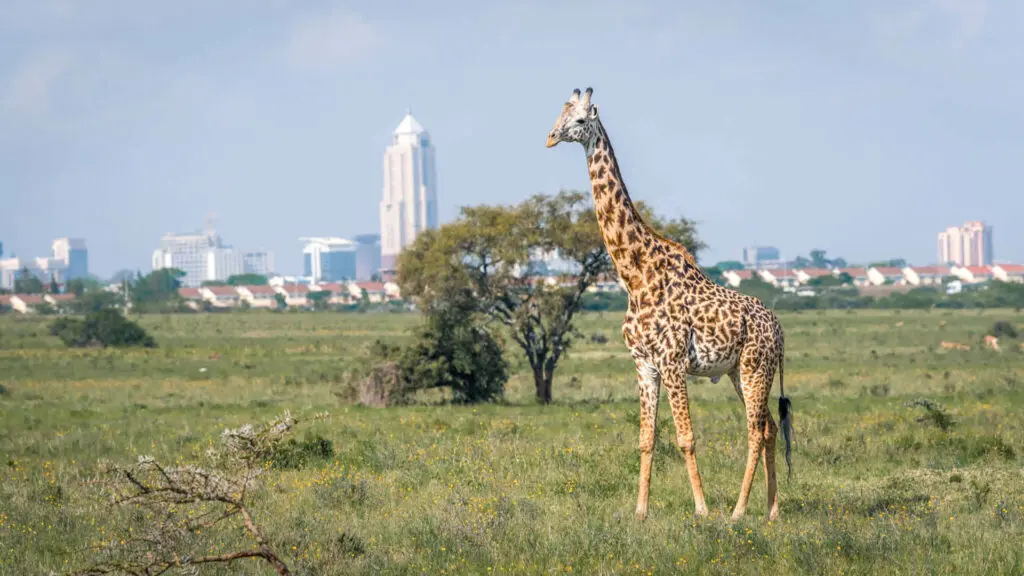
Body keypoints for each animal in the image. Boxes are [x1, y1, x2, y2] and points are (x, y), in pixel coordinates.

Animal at [546, 87, 792, 521]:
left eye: (580, 120)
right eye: (560, 114)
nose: (551, 137)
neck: (635, 275)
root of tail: (778, 329)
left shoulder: (673, 361)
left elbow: (686, 437)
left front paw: (702, 510)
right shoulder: (644, 363)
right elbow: (646, 439)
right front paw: (641, 511)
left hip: (755, 367)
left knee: (754, 431)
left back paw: (738, 511)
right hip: (738, 371)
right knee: (769, 429)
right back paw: (772, 510)